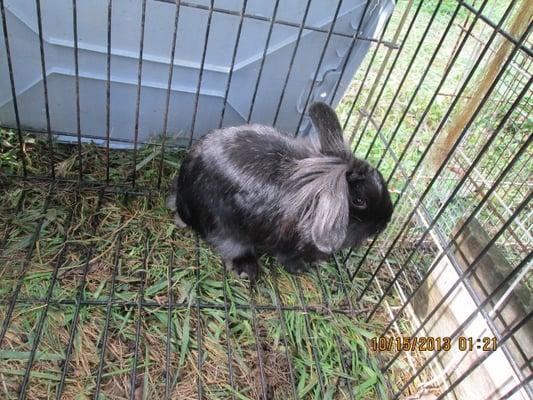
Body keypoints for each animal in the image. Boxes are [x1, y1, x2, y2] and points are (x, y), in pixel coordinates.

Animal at [168, 101, 392, 280]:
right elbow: (287, 257)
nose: (385, 222)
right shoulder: (286, 244)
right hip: (224, 225)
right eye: (359, 201)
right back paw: (248, 271)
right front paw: (301, 268)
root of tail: (183, 195)